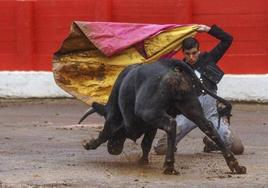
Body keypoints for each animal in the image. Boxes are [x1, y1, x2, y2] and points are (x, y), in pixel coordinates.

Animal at [79, 58, 245, 175]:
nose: (113, 149)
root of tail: (168, 65)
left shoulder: (123, 120)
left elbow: (108, 132)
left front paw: (90, 144)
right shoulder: (148, 126)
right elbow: (146, 142)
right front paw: (143, 160)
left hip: (149, 111)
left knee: (171, 124)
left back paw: (169, 165)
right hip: (190, 107)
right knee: (208, 127)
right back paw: (235, 165)